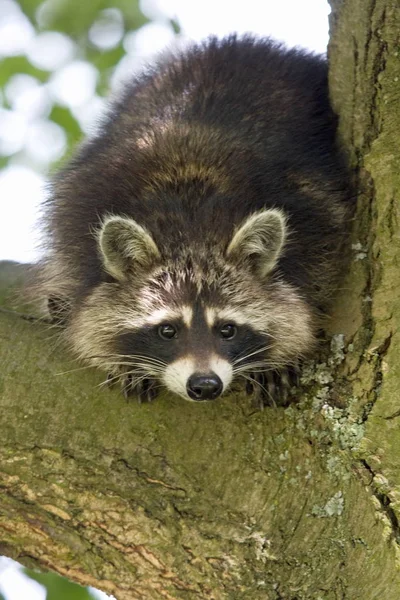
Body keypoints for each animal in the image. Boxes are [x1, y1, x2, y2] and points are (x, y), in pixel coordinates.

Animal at [36, 35, 352, 406]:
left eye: (227, 329)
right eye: (167, 330)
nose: (204, 385)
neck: (192, 229)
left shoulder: (313, 210)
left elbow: (309, 289)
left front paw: (279, 357)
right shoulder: (81, 212)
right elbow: (83, 300)